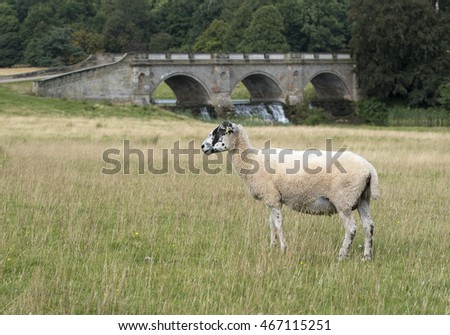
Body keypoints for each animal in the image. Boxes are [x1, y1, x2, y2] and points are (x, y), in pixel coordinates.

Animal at [201, 119, 380, 262]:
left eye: (220, 131)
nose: (203, 146)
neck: (252, 159)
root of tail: (369, 169)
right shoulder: (272, 199)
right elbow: (271, 224)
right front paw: (272, 247)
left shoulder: (272, 198)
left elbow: (278, 224)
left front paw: (283, 248)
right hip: (362, 199)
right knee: (368, 226)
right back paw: (367, 257)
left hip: (344, 200)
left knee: (351, 228)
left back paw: (342, 256)